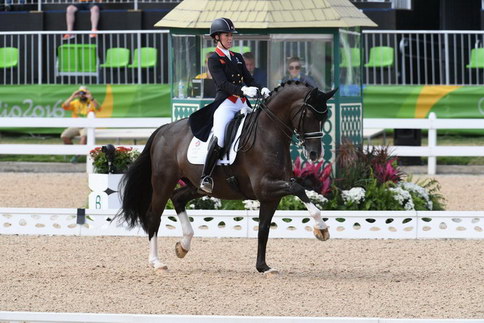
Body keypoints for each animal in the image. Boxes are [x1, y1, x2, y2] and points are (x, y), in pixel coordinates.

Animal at [119, 81, 336, 276]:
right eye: (310, 115)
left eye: (324, 117)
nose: (315, 154)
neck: (268, 134)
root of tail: (163, 129)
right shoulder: (264, 187)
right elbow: (298, 188)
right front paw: (322, 228)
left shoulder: (270, 196)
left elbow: (264, 229)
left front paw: (263, 267)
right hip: (163, 181)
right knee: (154, 216)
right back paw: (157, 263)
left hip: (197, 185)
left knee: (178, 198)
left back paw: (184, 245)